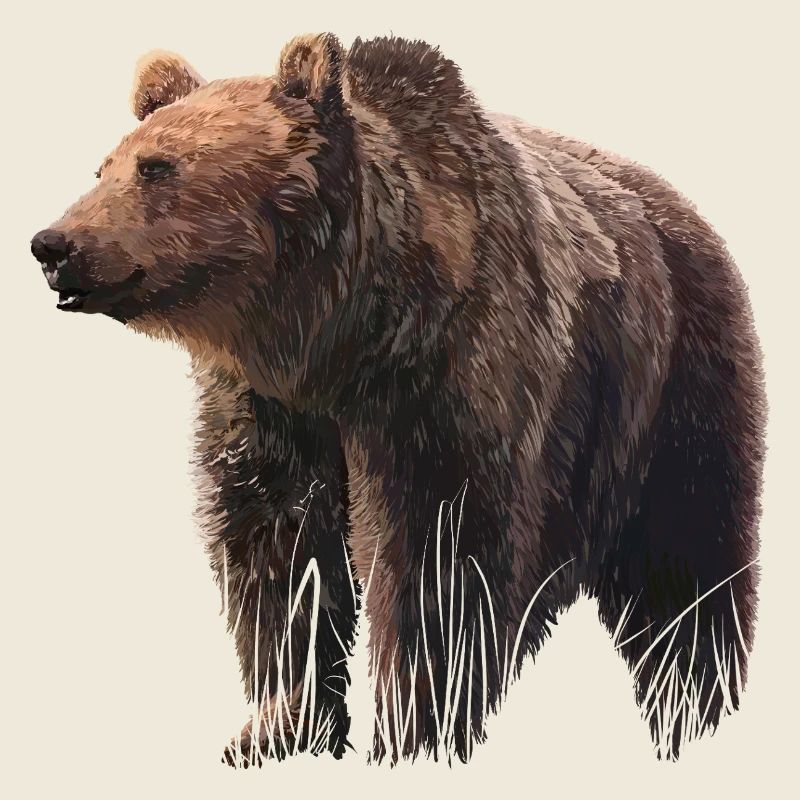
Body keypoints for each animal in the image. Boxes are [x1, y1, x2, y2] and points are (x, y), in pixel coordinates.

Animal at [30, 33, 765, 766]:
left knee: (686, 568)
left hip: (675, 388)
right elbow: (281, 547)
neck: (335, 338)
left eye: (158, 168)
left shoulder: (448, 382)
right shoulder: (270, 413)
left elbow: (439, 552)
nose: (52, 245)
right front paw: (278, 724)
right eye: (102, 168)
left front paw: (416, 728)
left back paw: (690, 706)